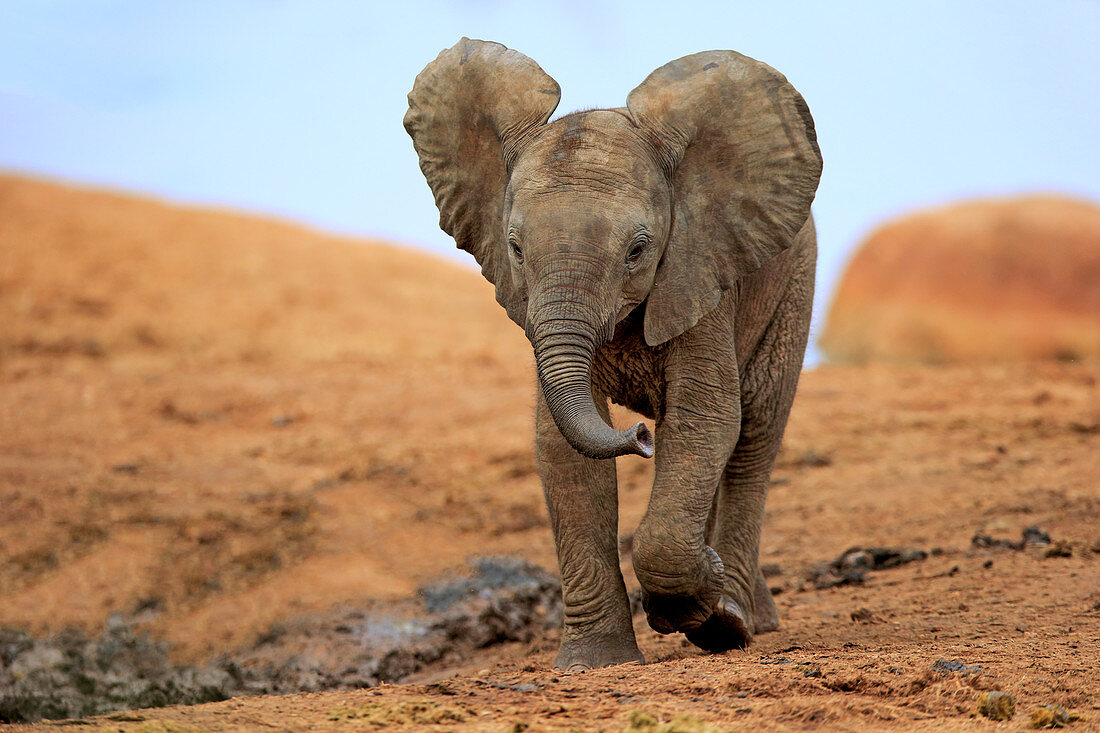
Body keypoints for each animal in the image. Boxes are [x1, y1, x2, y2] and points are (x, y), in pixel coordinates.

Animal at [409, 38, 822, 669]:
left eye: (638, 250)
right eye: (515, 249)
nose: (640, 436)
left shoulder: (698, 271)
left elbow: (704, 420)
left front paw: (704, 615)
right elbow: (562, 448)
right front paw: (594, 661)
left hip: (793, 285)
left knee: (754, 437)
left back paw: (736, 616)